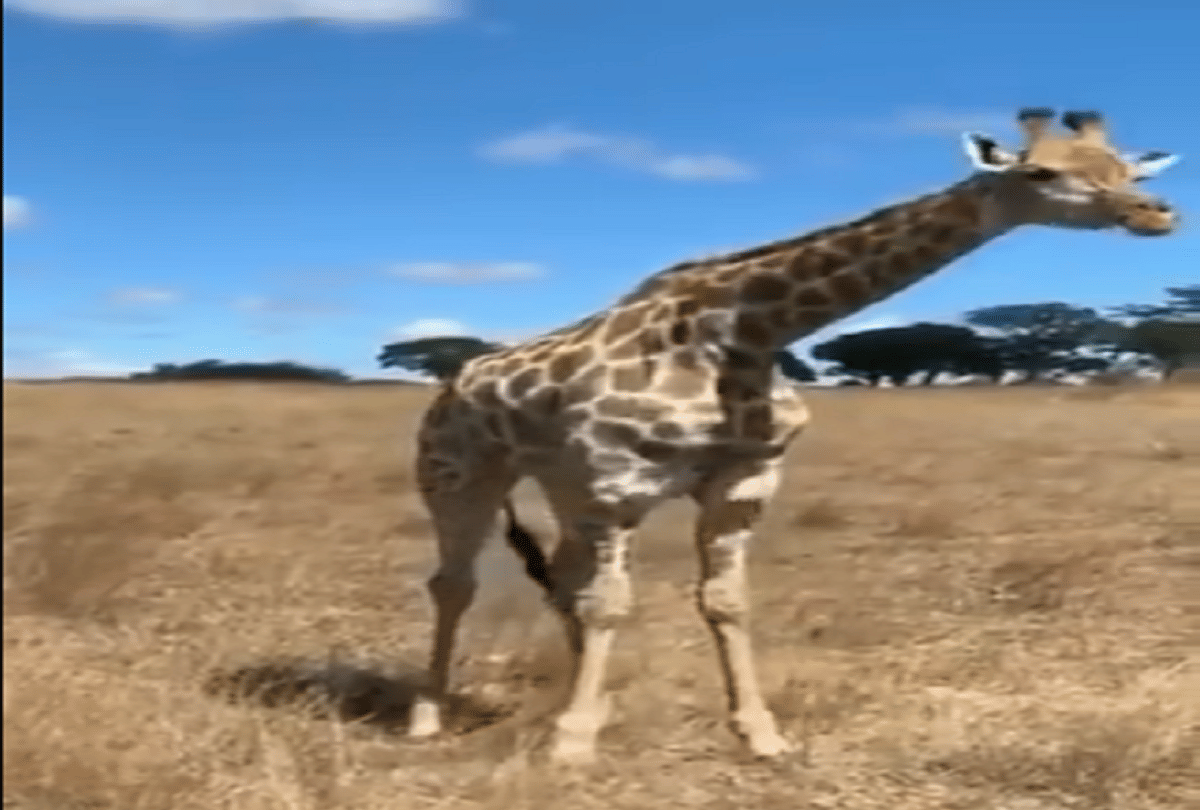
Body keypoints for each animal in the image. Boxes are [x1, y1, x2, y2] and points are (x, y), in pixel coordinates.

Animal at [405, 108, 1180, 763]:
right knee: (455, 583)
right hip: (462, 474)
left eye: (1127, 170)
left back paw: (583, 702)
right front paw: (570, 747)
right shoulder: (619, 483)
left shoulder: (740, 483)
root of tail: (454, 380)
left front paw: (759, 735)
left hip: (565, 488)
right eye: (1040, 173)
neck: (747, 333)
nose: (1157, 213)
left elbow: (724, 602)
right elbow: (610, 604)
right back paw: (428, 716)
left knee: (561, 581)